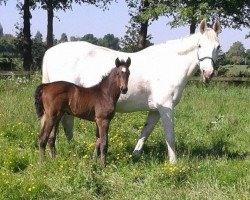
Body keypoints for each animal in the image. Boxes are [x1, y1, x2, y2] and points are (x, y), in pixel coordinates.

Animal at [42, 19, 221, 164]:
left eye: (218, 47)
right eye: (199, 45)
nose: (208, 73)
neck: (167, 65)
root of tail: (50, 52)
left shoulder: (155, 110)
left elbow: (145, 132)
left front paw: (135, 155)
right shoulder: (166, 108)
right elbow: (169, 136)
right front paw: (174, 163)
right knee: (63, 125)